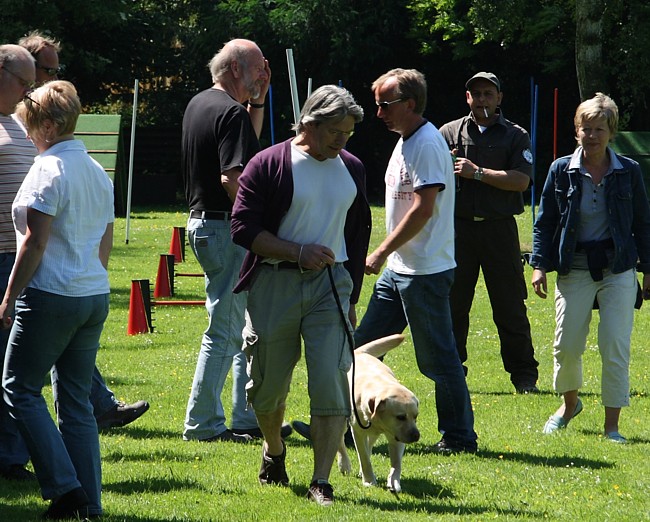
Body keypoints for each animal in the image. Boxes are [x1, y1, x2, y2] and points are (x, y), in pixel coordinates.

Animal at [336, 334, 418, 492]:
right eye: (400, 417)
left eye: (415, 417)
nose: (416, 436)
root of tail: (358, 353)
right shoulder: (358, 432)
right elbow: (364, 458)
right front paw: (369, 481)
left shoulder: (396, 437)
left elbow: (396, 464)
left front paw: (394, 481)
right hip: (342, 419)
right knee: (340, 442)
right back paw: (344, 464)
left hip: (374, 433)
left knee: (369, 445)